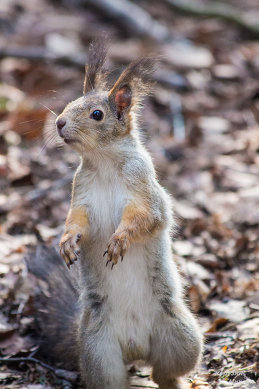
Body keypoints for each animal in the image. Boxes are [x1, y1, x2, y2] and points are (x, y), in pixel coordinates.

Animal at [27, 41, 203, 386]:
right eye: (70, 103)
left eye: (97, 114)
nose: (59, 122)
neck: (103, 162)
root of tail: (136, 350)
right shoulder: (81, 197)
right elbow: (76, 221)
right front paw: (67, 242)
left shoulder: (145, 193)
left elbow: (145, 218)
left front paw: (120, 239)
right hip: (99, 353)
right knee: (114, 378)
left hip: (181, 336)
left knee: (166, 372)